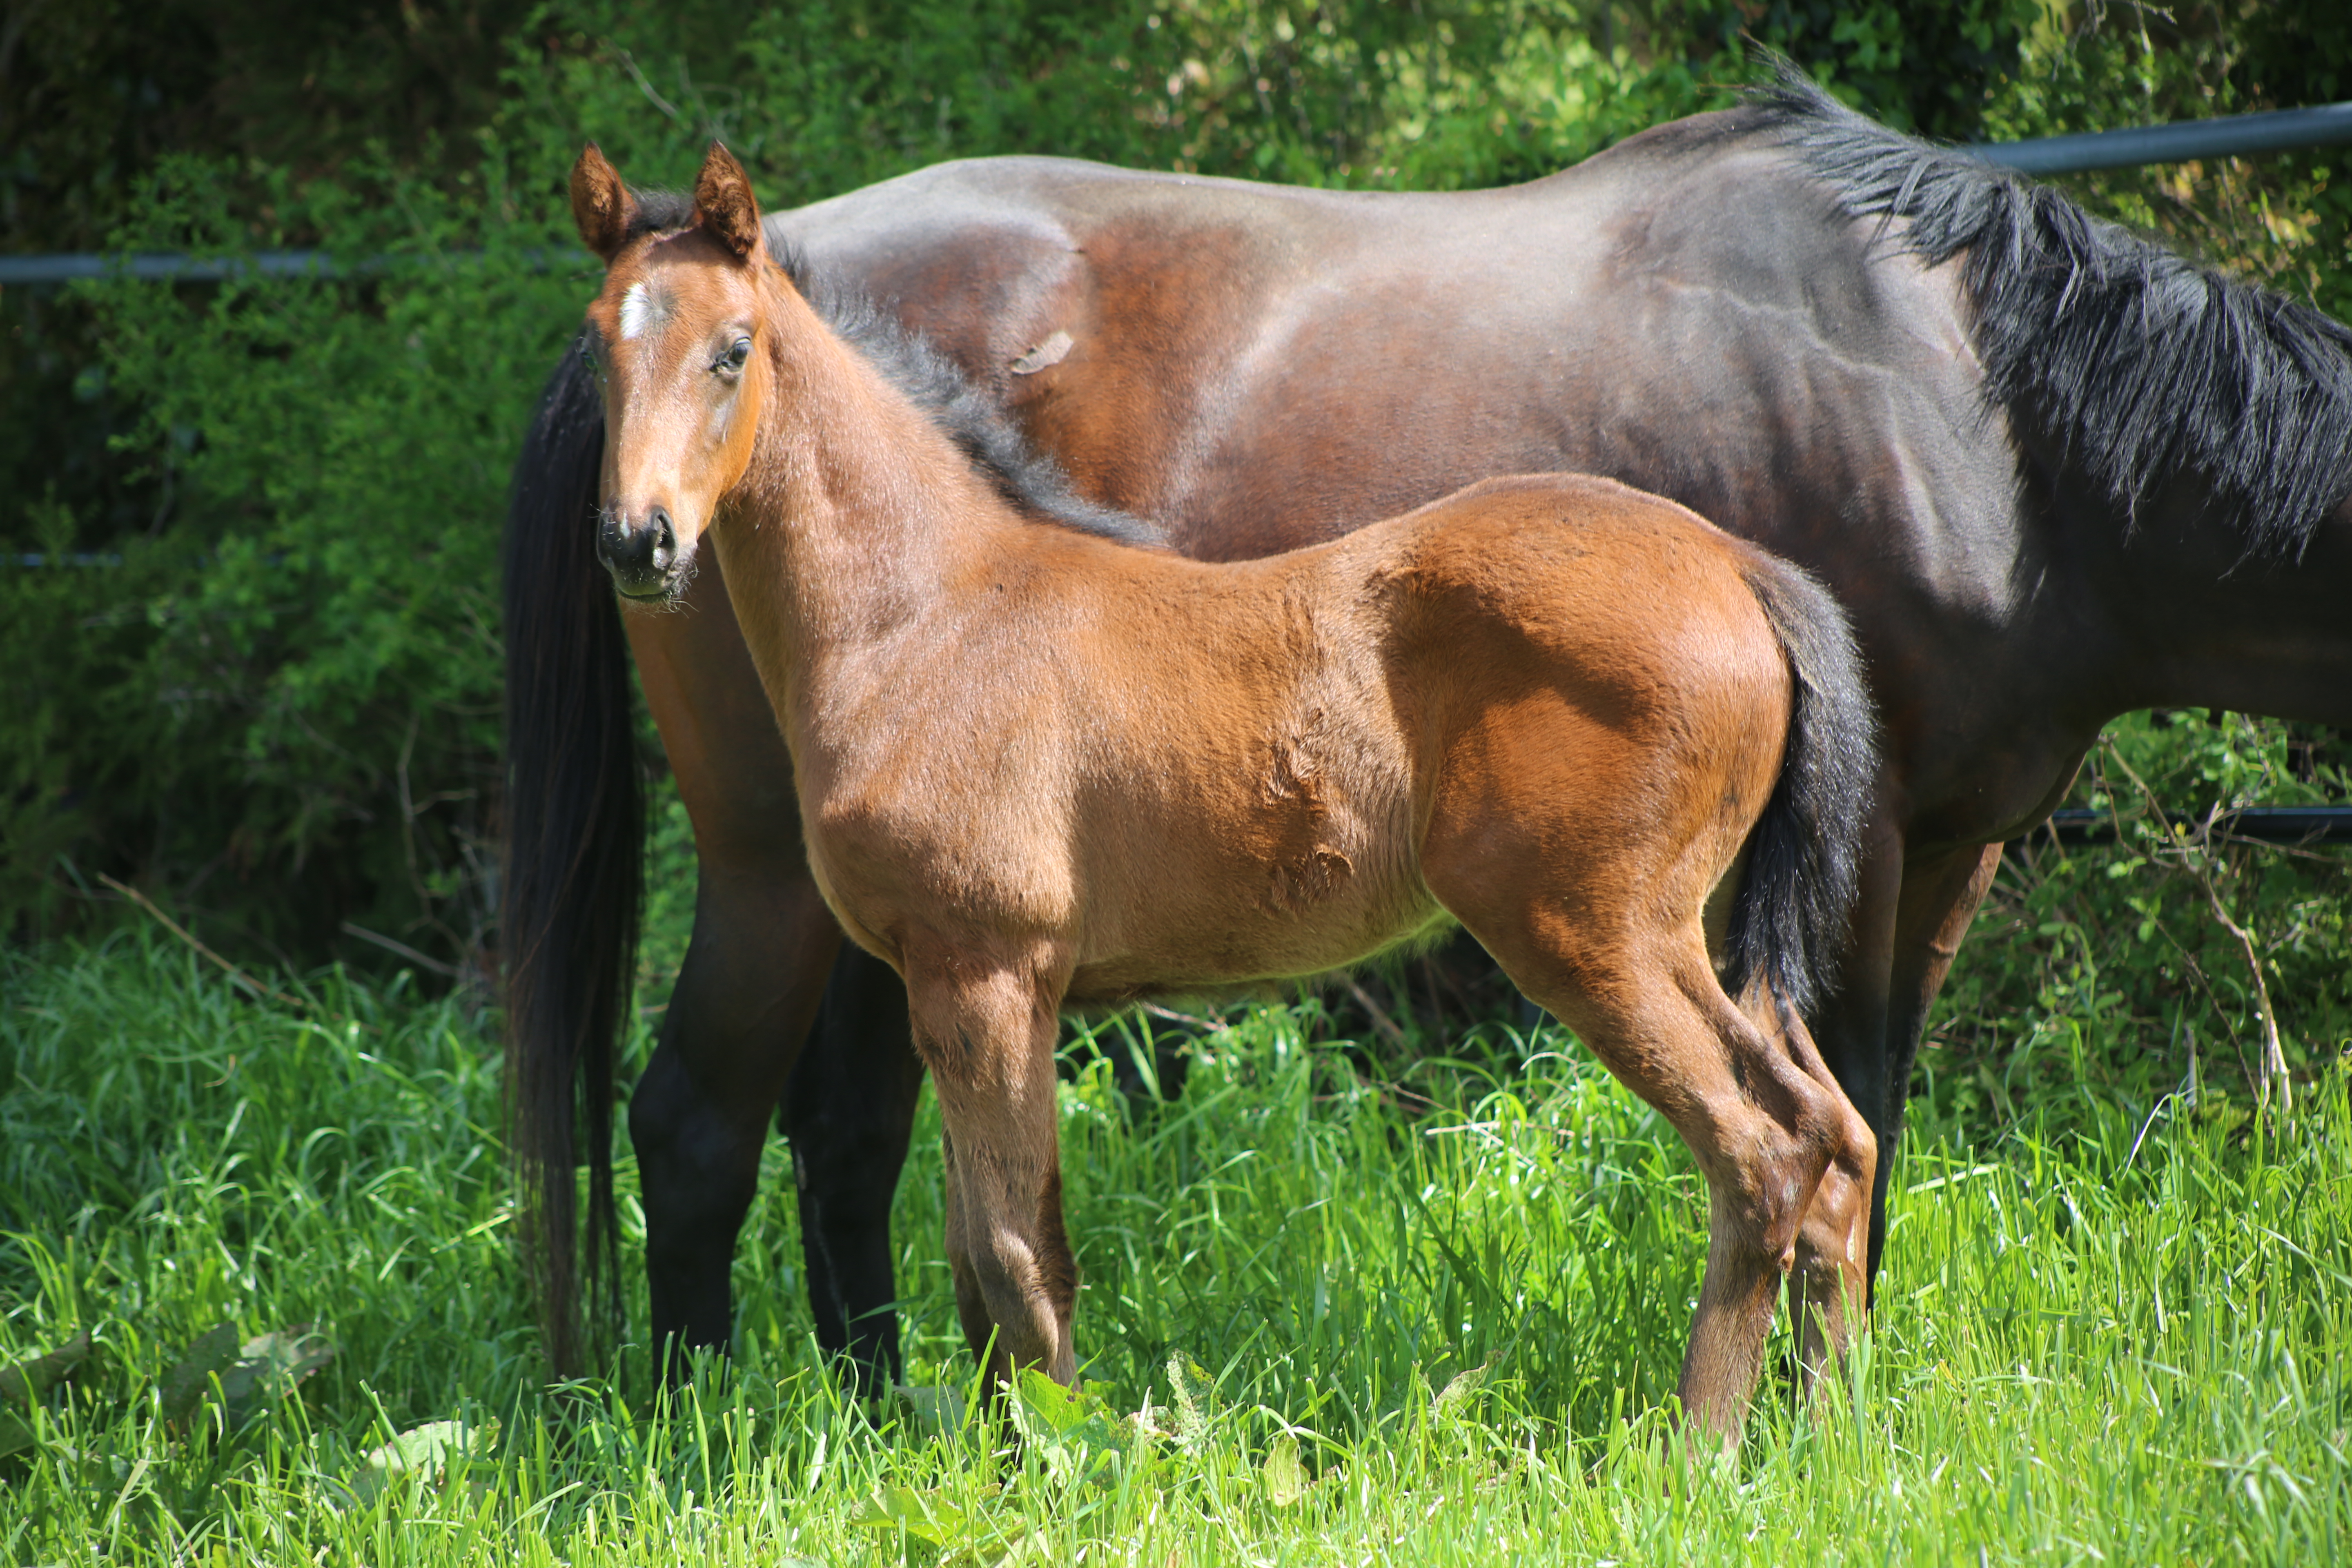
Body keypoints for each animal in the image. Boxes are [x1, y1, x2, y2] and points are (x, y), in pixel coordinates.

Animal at [578, 147, 1882, 1448]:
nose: (638, 543)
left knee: (1764, 1154)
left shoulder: (987, 972)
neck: (928, 614)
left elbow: (1017, 1257)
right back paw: (1824, 1434)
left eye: (732, 348)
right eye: (599, 346)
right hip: (1702, 933)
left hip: (1589, 932)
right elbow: (972, 1257)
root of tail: (1737, 568)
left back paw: (1700, 1448)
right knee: (1837, 1139)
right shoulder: (951, 988)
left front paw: (1057, 1459)